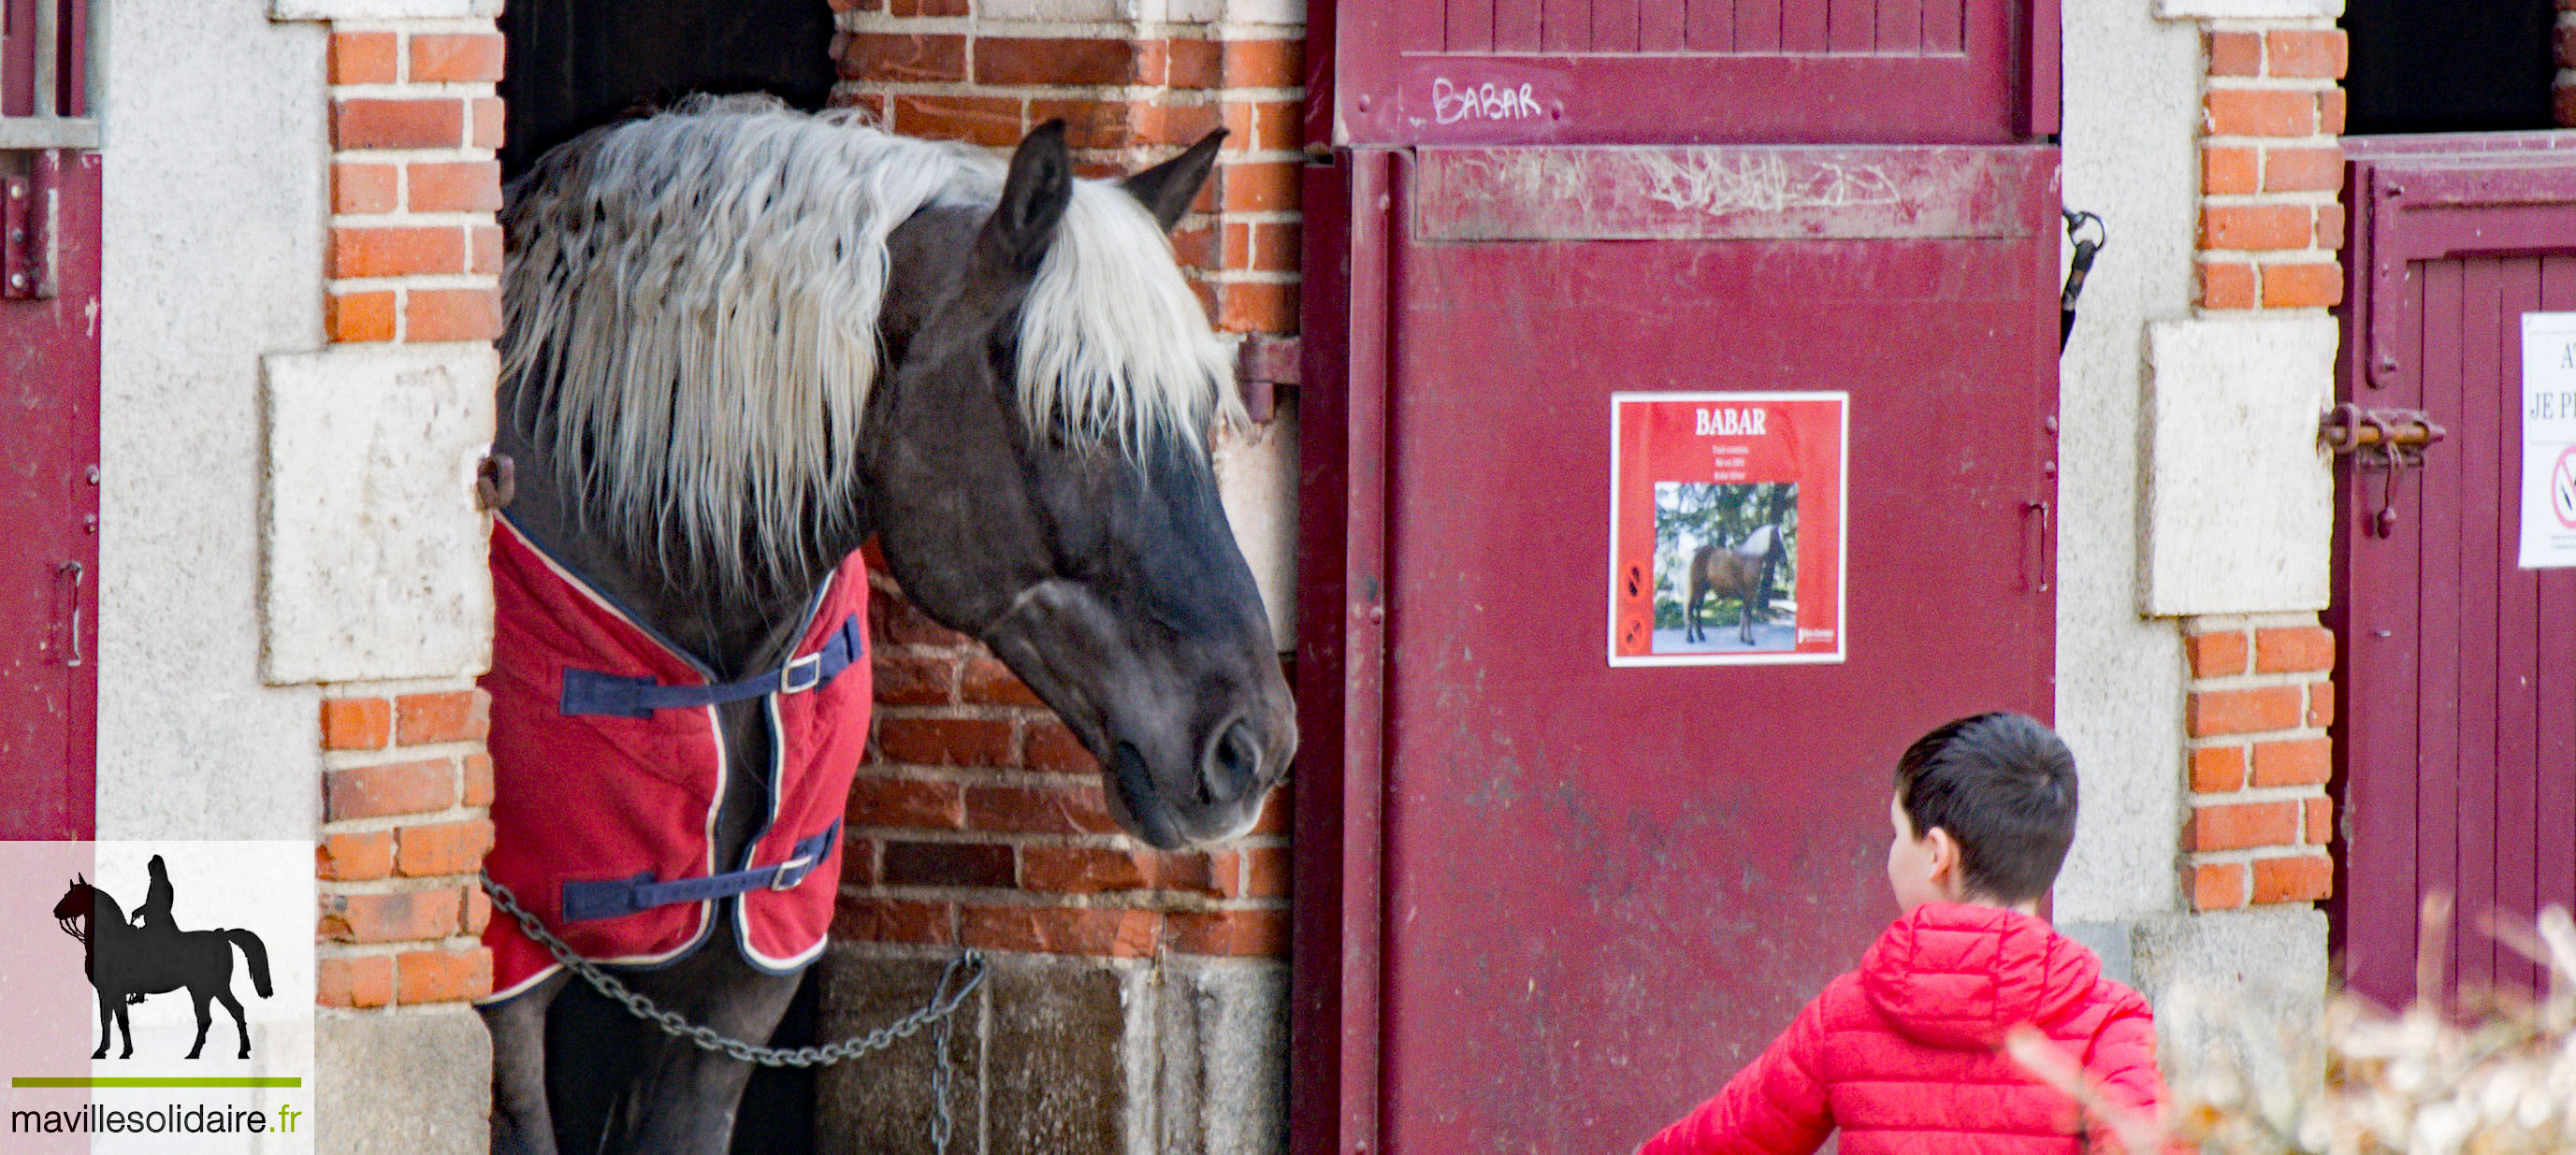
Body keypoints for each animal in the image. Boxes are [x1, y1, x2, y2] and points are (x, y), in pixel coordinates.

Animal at [51, 876, 274, 1057]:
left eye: (72, 895)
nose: (55, 912)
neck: (111, 939)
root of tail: (221, 934)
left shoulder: (116, 991)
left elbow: (122, 1021)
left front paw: (125, 1052)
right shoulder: (104, 992)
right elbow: (106, 1020)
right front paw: (102, 1051)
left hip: (209, 988)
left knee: (216, 1017)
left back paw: (209, 1053)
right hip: (207, 990)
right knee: (225, 1014)